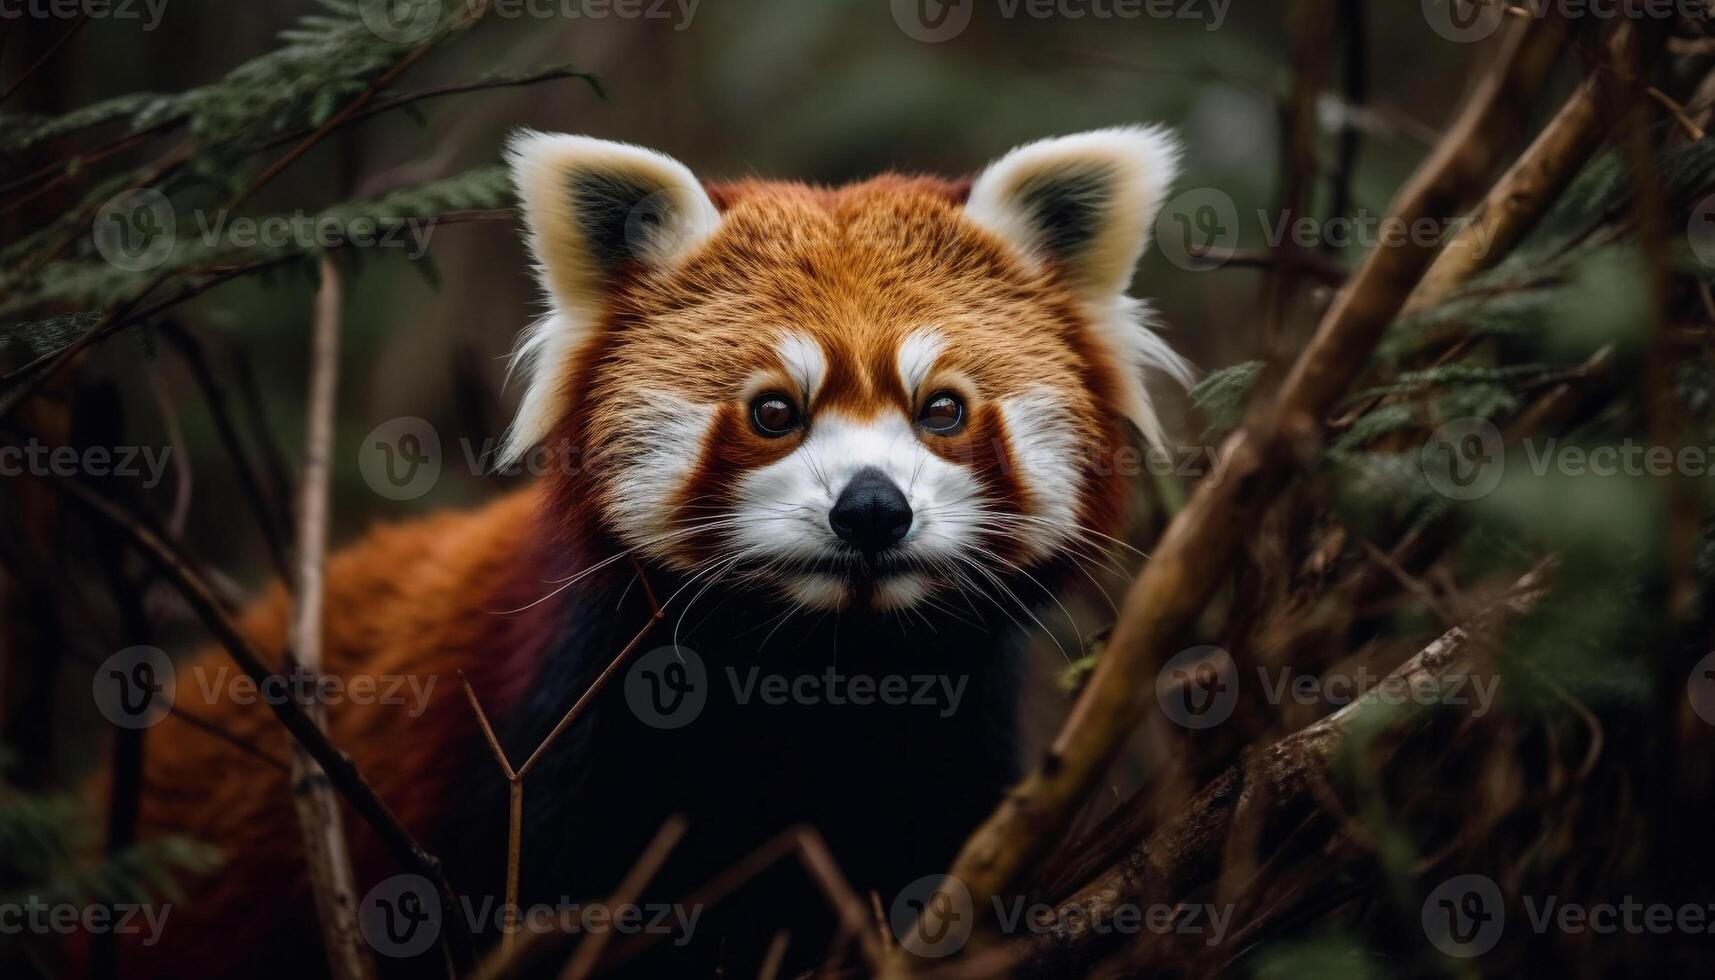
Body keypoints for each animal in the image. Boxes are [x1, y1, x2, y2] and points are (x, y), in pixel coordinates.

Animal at [114, 126, 1193, 974]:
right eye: (773, 411)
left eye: (941, 410)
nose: (870, 510)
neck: (824, 678)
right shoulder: (550, 751)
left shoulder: (956, 754)